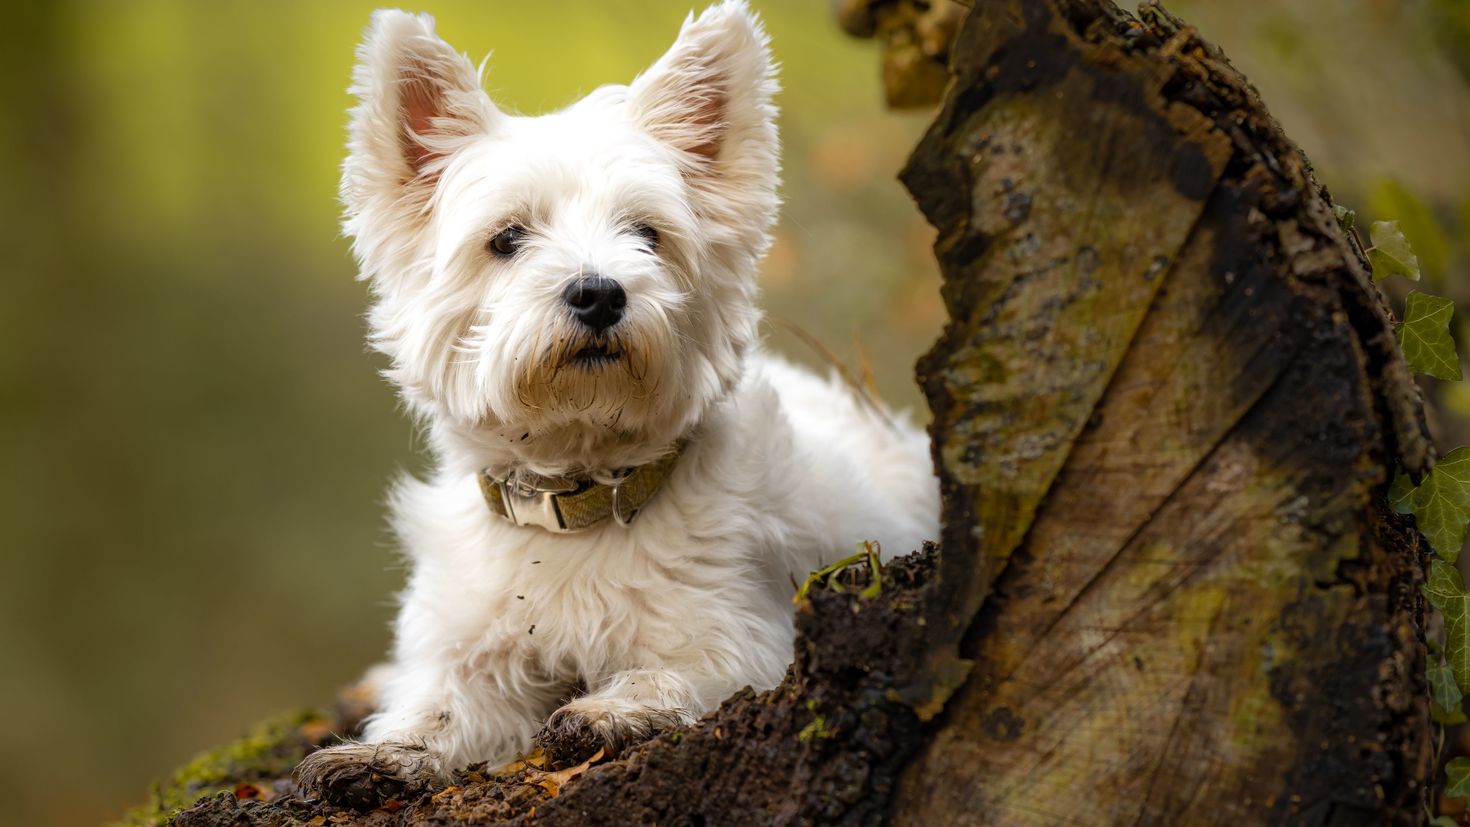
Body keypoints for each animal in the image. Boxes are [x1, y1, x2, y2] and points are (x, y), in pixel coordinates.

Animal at [296, 0, 934, 804]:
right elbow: (437, 706)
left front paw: (609, 709)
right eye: (507, 237)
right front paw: (383, 751)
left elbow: (676, 674)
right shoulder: (470, 649)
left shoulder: (740, 633)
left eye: (646, 234)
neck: (576, 498)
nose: (599, 293)